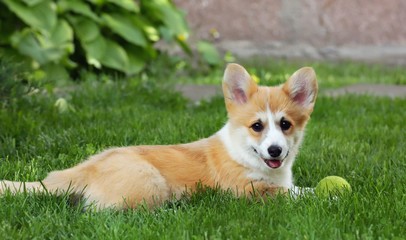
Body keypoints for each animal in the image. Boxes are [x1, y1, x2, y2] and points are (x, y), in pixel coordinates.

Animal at [0, 63, 318, 210]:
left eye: (285, 124)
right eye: (256, 126)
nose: (275, 151)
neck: (246, 155)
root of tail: (79, 171)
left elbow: (296, 188)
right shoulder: (248, 191)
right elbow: (297, 193)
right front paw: (325, 194)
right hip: (148, 183)